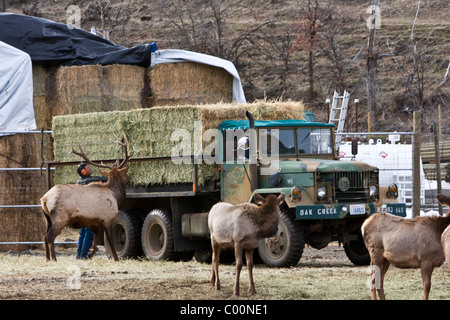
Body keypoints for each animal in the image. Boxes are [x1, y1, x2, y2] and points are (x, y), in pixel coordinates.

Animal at [40, 134, 133, 262]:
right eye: (124, 173)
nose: (129, 178)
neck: (115, 196)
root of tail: (44, 199)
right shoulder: (108, 217)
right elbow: (110, 241)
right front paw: (116, 258)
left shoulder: (92, 221)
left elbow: (96, 236)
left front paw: (90, 253)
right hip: (60, 218)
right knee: (50, 236)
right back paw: (54, 259)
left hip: (47, 218)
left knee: (44, 236)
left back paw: (47, 259)